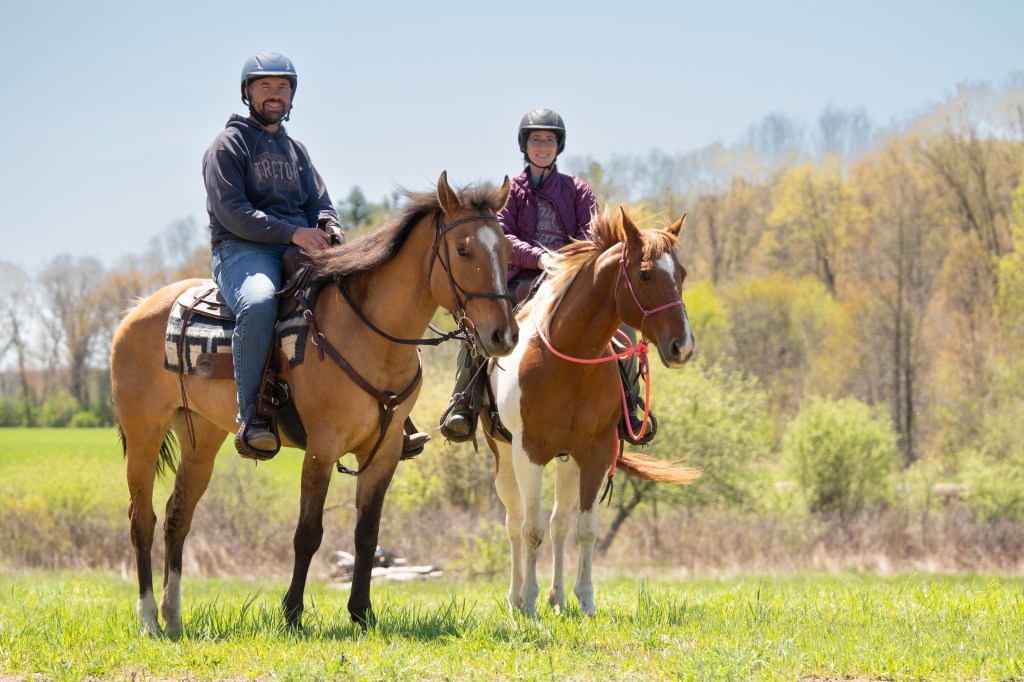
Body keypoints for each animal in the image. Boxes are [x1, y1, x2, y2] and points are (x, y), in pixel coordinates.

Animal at [112, 172, 518, 635]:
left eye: (506, 249)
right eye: (464, 249)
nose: (504, 335)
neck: (367, 333)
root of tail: (138, 311)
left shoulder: (385, 452)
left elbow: (367, 534)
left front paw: (361, 612)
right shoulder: (322, 449)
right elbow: (308, 532)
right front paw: (291, 613)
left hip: (201, 438)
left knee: (178, 516)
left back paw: (173, 616)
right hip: (144, 434)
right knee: (142, 519)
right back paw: (148, 619)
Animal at [482, 205, 700, 616]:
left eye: (680, 274)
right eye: (645, 274)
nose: (683, 347)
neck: (571, 362)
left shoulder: (595, 452)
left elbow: (584, 528)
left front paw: (584, 601)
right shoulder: (528, 453)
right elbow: (530, 529)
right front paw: (530, 603)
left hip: (568, 462)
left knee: (559, 523)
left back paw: (558, 598)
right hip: (504, 457)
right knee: (515, 521)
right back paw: (517, 598)